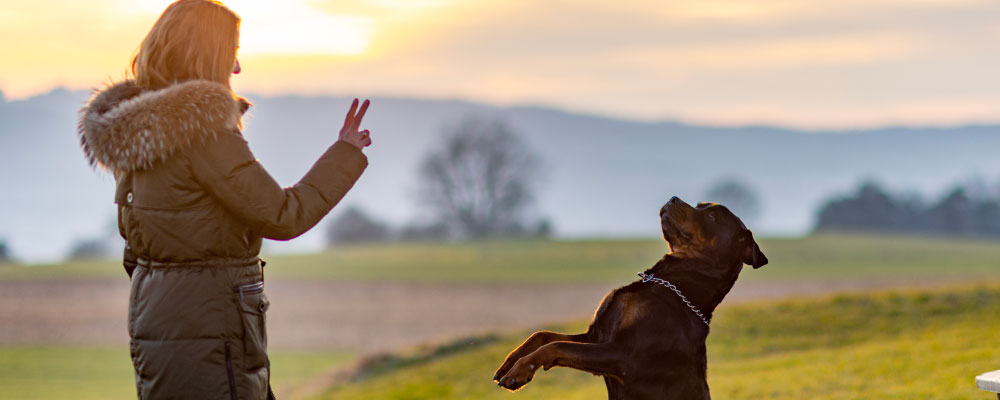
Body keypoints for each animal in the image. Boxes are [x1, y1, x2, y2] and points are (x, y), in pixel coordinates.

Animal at [492, 197, 764, 400]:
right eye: (700, 205)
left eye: (711, 217)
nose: (673, 198)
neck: (674, 284)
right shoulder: (597, 335)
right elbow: (543, 335)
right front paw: (511, 361)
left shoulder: (623, 355)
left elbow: (556, 346)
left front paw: (519, 372)